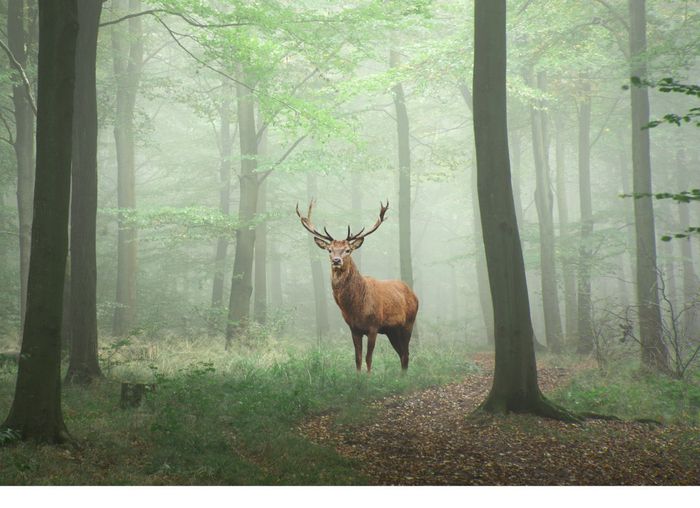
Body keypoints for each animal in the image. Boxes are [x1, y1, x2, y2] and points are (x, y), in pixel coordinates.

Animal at [297, 200, 419, 372]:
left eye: (348, 250)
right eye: (329, 250)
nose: (336, 260)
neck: (356, 307)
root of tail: (414, 295)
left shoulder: (374, 326)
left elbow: (368, 358)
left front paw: (368, 377)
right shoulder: (354, 329)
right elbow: (358, 359)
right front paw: (358, 377)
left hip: (409, 323)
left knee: (406, 354)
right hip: (391, 330)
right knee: (402, 354)